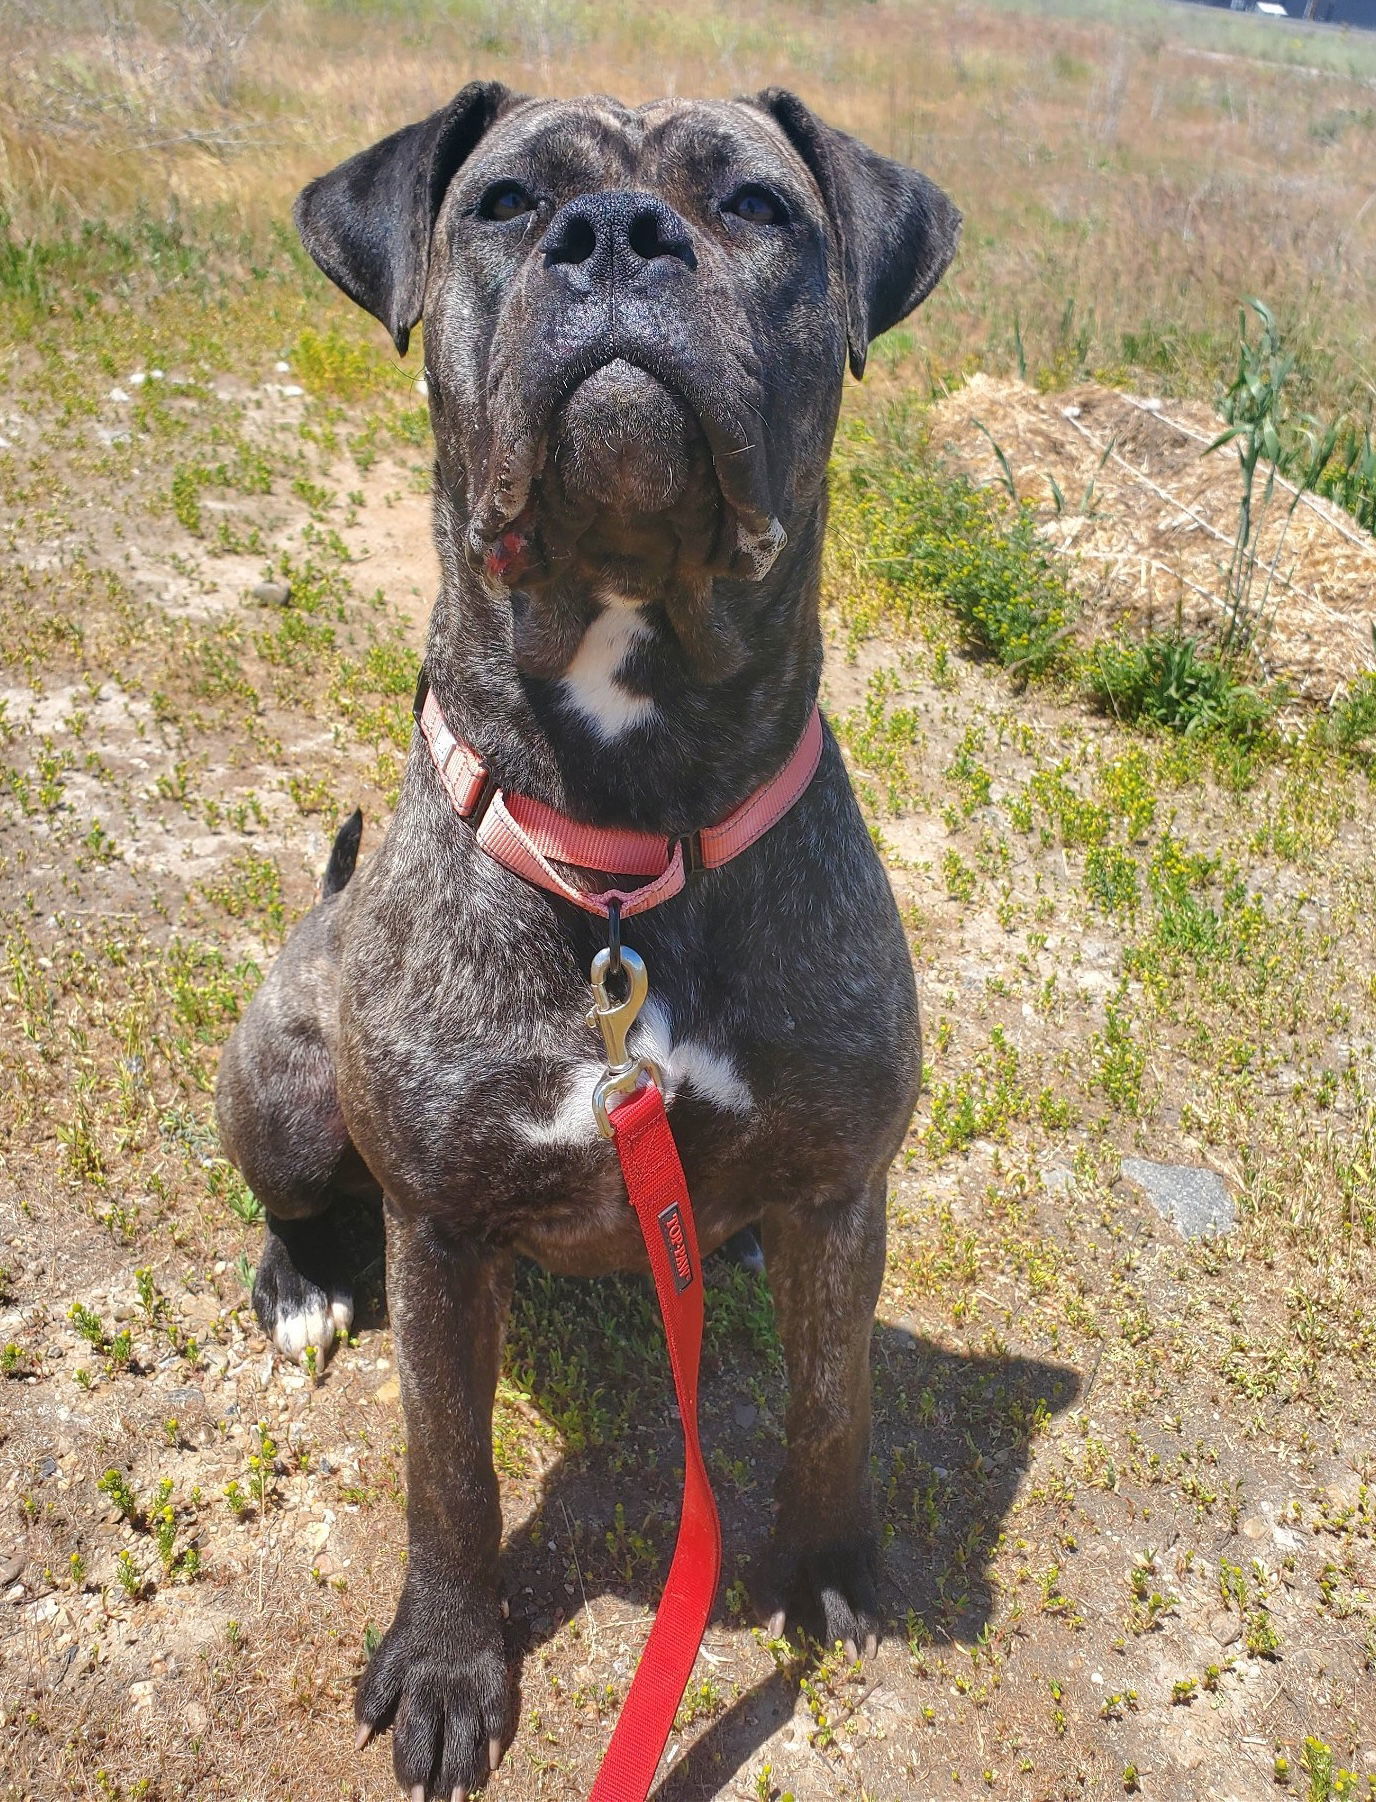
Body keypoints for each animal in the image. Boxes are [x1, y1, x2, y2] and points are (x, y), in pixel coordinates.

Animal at [217, 87, 958, 1802]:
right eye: (503, 202)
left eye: (756, 203)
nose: (617, 233)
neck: (628, 852)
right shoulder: (436, 1229)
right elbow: (449, 1471)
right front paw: (447, 1663)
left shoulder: (845, 1191)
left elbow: (832, 1399)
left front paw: (832, 1567)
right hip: (284, 1076)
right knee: (296, 1196)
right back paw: (301, 1285)